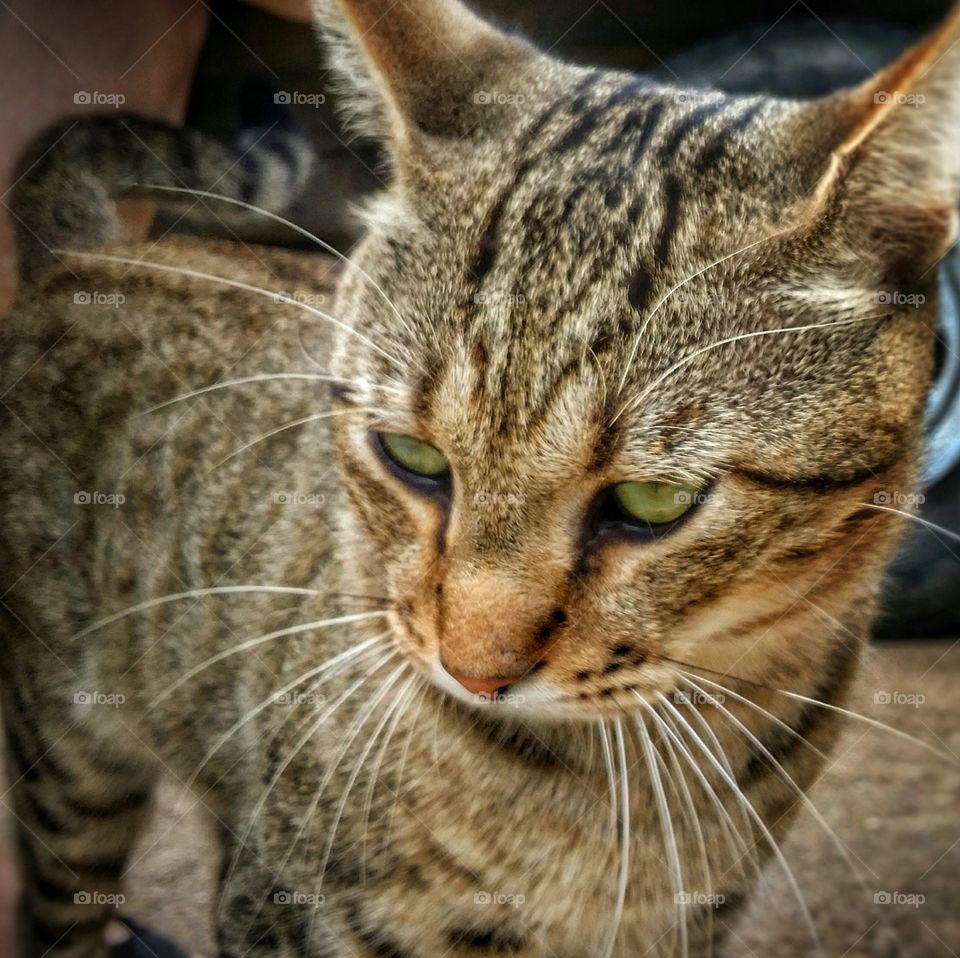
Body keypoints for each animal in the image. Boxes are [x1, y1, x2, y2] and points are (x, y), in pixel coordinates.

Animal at [1, 0, 960, 956]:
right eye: (413, 457)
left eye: (654, 501)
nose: (475, 672)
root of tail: (88, 263)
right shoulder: (285, 904)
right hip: (70, 765)